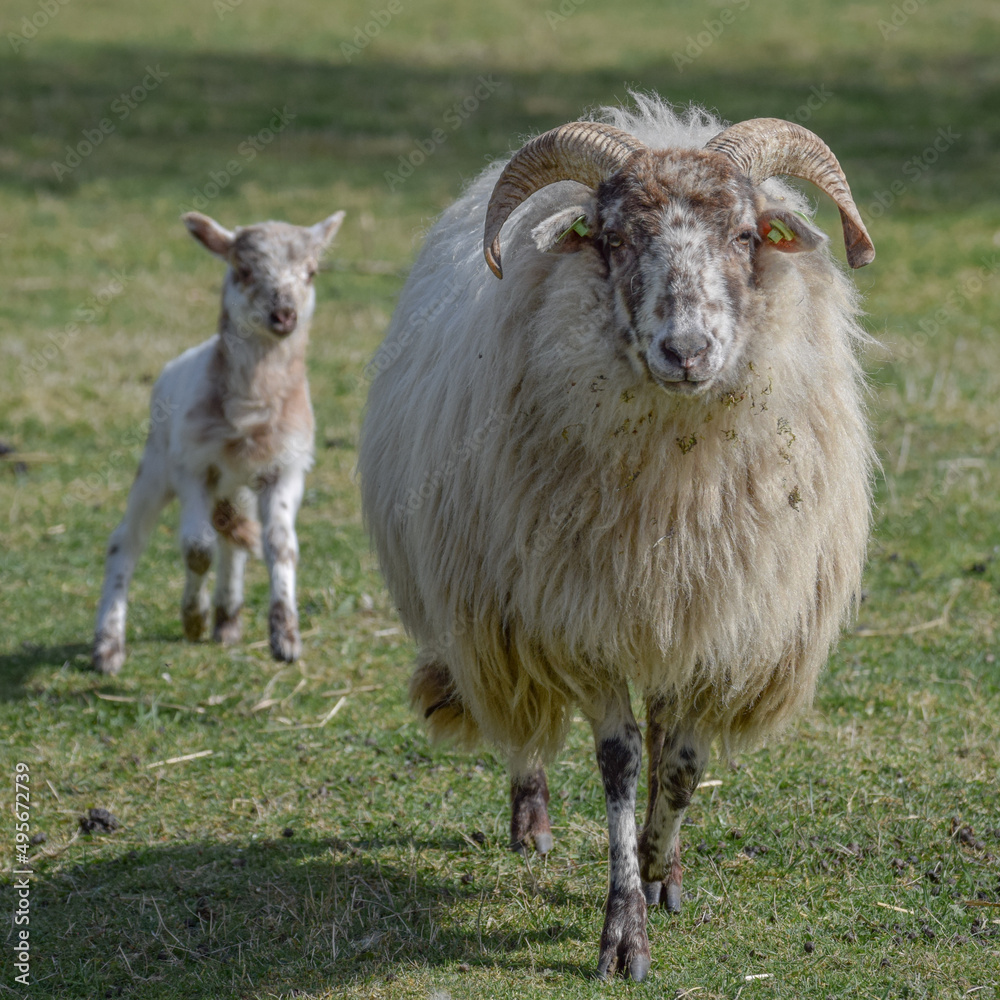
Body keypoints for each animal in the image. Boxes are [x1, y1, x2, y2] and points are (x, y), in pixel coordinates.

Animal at [92, 209, 344, 675]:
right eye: (242, 270)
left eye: (311, 272)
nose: (284, 315)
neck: (250, 412)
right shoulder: (193, 463)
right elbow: (197, 548)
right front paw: (193, 617)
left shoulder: (287, 465)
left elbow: (280, 546)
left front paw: (285, 639)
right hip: (156, 463)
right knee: (127, 541)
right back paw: (108, 647)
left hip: (235, 483)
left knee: (233, 537)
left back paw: (228, 618)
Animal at [357, 94, 875, 980]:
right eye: (616, 238)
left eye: (746, 235)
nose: (687, 350)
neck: (675, 483)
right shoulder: (580, 617)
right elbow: (621, 761)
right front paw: (624, 926)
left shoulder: (717, 618)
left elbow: (683, 762)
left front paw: (662, 865)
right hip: (495, 605)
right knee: (520, 720)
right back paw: (530, 819)